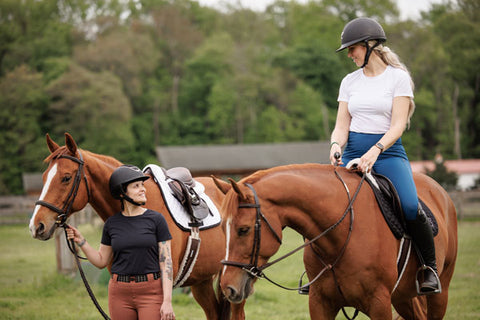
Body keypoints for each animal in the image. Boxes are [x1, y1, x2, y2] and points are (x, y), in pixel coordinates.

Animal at [215, 164, 458, 320]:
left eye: (244, 230)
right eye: (222, 228)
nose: (228, 288)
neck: (340, 239)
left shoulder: (379, 303)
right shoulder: (320, 303)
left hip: (440, 293)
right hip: (403, 297)